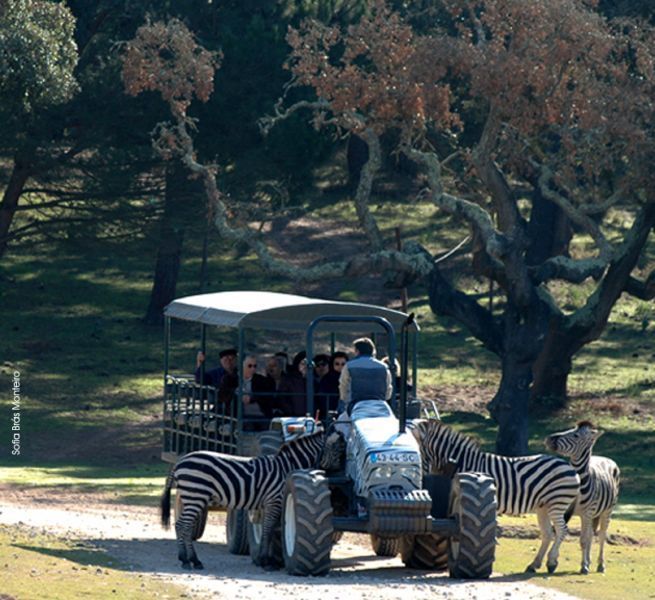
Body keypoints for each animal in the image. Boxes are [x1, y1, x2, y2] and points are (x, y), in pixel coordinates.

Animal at [162, 428, 346, 568]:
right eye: (338, 452)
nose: (340, 477)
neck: (286, 466)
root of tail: (180, 461)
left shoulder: (266, 503)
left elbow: (266, 529)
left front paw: (261, 559)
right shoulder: (274, 501)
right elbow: (268, 529)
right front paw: (266, 561)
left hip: (193, 497)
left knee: (181, 525)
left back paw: (188, 559)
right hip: (195, 495)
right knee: (183, 525)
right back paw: (189, 560)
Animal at [412, 420, 580, 576]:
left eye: (417, 453)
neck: (461, 461)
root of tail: (569, 466)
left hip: (557, 502)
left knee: (562, 530)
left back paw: (551, 562)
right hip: (543, 506)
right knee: (548, 533)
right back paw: (534, 565)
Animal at [544, 420, 624, 576]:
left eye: (575, 435)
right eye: (570, 429)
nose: (549, 439)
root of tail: (606, 459)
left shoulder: (586, 513)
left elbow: (583, 540)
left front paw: (584, 566)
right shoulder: (566, 510)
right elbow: (563, 533)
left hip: (607, 511)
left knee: (601, 536)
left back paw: (600, 565)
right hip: (593, 515)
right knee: (591, 535)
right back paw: (590, 561)